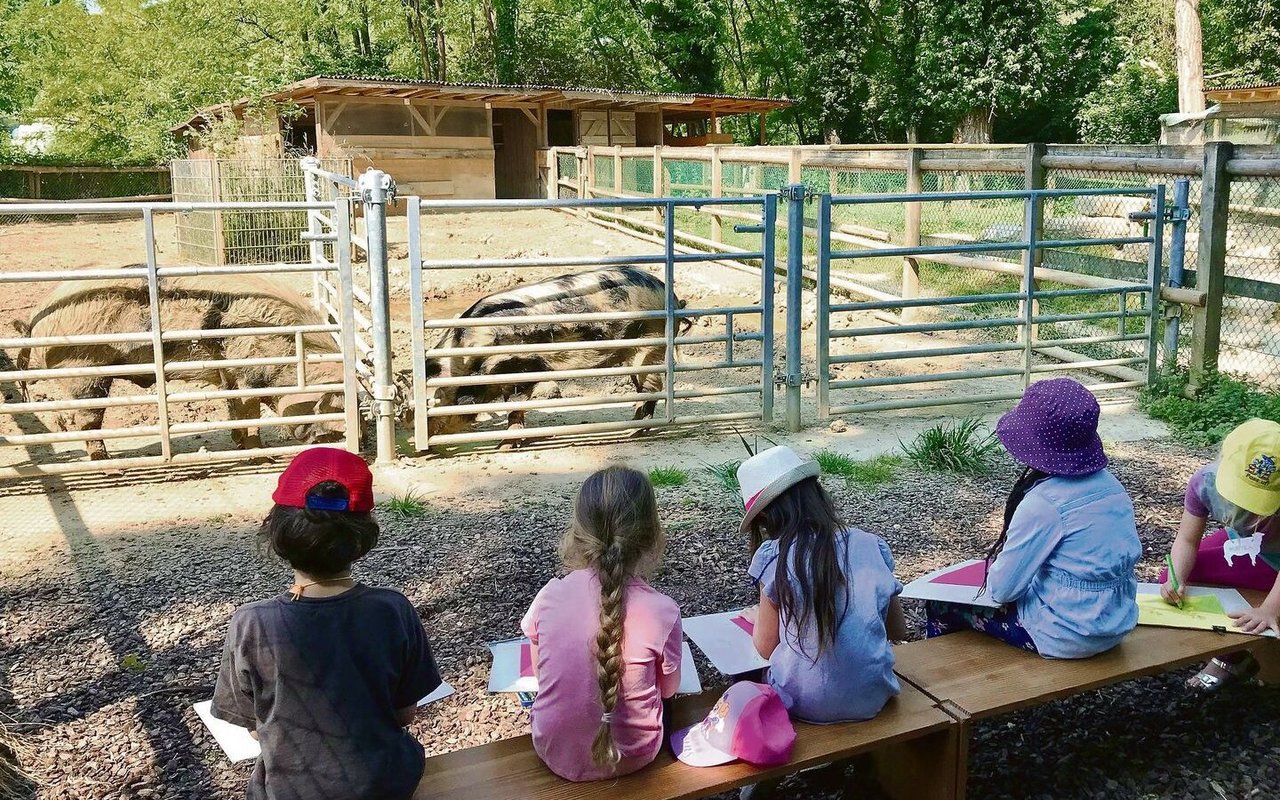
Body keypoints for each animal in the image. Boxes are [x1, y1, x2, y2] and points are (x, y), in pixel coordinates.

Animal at [12, 272, 350, 460]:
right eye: (332, 404)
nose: (339, 437)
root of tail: (37, 319)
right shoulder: (244, 372)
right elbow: (249, 413)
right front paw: (258, 455)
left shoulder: (228, 374)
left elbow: (234, 410)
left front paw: (239, 444)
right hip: (84, 368)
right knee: (86, 419)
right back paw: (107, 465)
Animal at [412, 264, 691, 440]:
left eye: (433, 402)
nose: (419, 445)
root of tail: (671, 295)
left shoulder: (521, 366)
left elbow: (515, 404)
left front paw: (505, 445)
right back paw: (631, 426)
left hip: (650, 344)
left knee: (653, 387)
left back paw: (634, 431)